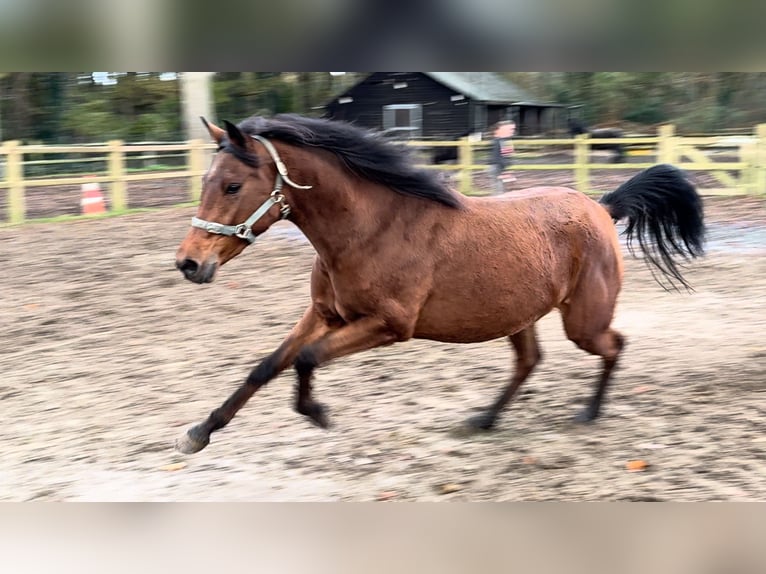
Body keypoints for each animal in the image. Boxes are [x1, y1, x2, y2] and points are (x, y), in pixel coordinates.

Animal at [171, 112, 704, 454]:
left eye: (233, 186)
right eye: (206, 181)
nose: (189, 263)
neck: (370, 228)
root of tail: (602, 206)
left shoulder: (388, 324)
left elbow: (305, 359)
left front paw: (317, 413)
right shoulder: (325, 314)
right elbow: (265, 367)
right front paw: (199, 432)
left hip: (583, 320)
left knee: (614, 345)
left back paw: (589, 413)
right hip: (519, 314)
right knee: (530, 361)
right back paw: (483, 419)